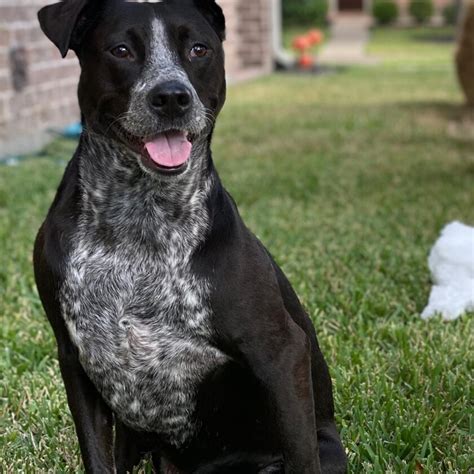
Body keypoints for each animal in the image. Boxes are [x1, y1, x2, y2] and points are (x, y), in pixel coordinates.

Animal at [32, 1, 344, 472]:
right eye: (121, 50)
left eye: (198, 49)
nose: (171, 97)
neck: (141, 218)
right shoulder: (75, 358)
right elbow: (96, 456)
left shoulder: (281, 353)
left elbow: (300, 453)